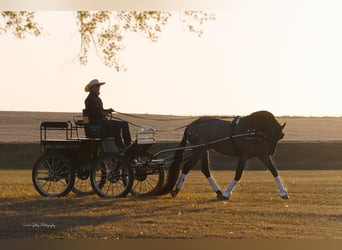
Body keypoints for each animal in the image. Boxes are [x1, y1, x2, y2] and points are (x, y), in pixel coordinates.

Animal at [159, 110, 288, 200]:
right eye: (271, 135)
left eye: (279, 137)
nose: (272, 152)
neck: (252, 130)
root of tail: (192, 125)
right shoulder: (244, 156)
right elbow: (238, 174)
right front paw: (227, 194)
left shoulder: (262, 154)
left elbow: (274, 171)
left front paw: (283, 192)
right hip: (200, 149)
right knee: (202, 169)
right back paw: (219, 192)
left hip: (200, 150)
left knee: (190, 167)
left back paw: (177, 190)